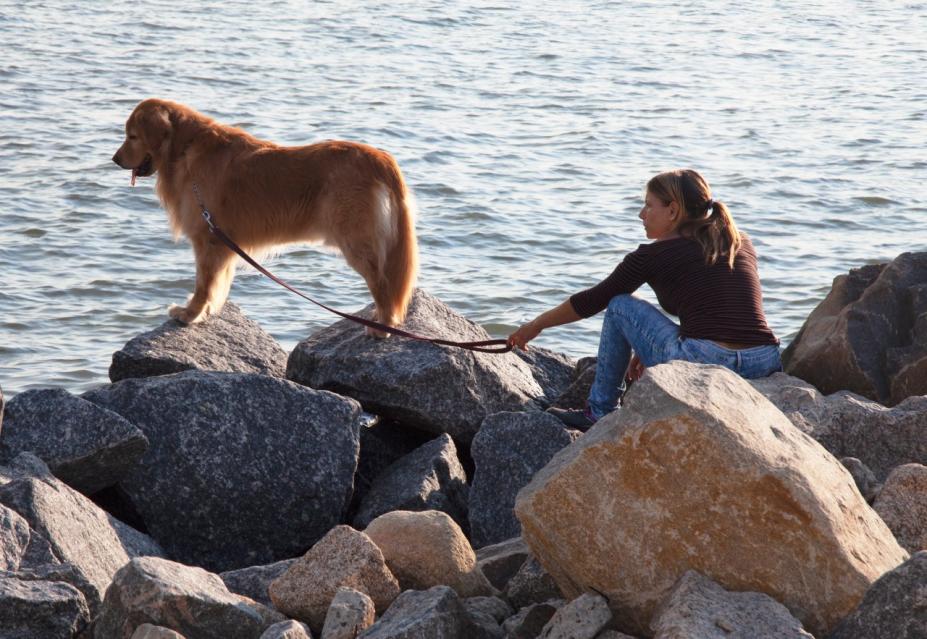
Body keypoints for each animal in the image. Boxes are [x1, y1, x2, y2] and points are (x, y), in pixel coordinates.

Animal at [112, 97, 420, 336]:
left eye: (132, 136)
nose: (114, 159)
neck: (184, 148)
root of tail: (379, 158)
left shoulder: (208, 240)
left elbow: (203, 284)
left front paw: (190, 314)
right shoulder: (222, 245)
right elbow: (216, 285)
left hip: (356, 240)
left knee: (383, 285)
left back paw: (382, 327)